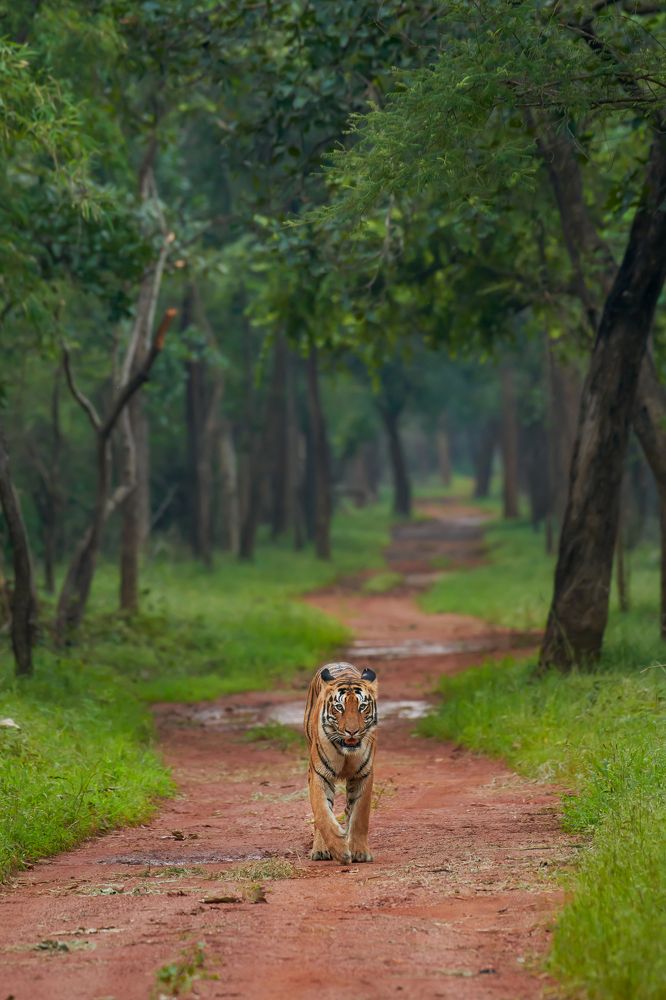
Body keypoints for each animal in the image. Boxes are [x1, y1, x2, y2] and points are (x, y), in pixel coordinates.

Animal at [303, 661, 378, 864]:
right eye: (339, 707)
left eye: (362, 706)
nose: (352, 731)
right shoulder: (320, 774)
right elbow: (322, 813)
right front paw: (339, 850)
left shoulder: (363, 775)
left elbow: (360, 815)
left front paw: (359, 852)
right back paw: (321, 850)